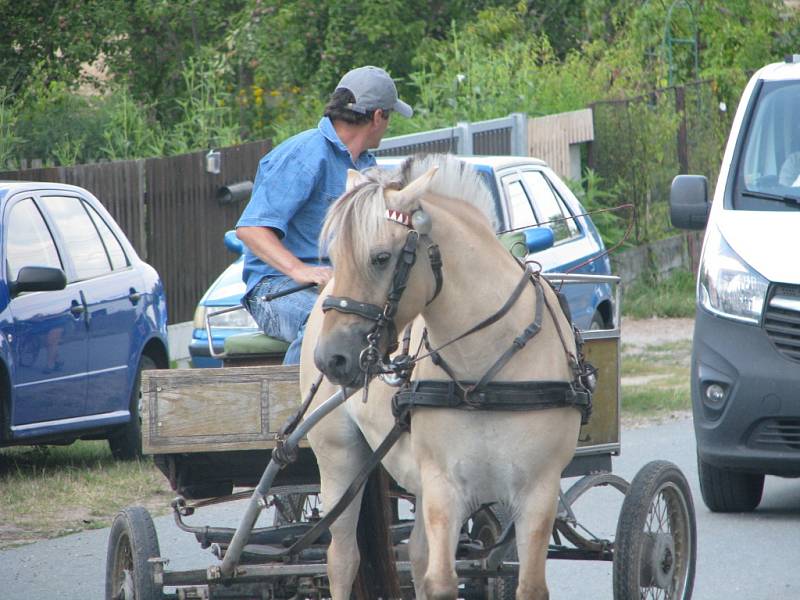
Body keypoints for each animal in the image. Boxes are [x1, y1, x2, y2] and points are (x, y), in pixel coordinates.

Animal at [296, 155, 584, 600]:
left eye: (381, 258)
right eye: (335, 259)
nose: (332, 358)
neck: (481, 380)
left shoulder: (539, 489)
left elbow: (530, 585)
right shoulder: (444, 485)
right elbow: (441, 581)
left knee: (414, 553)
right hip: (339, 459)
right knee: (342, 559)